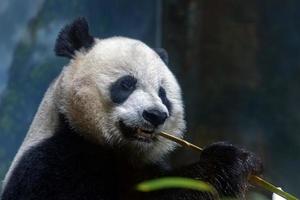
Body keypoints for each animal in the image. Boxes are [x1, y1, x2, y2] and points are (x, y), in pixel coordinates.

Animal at [1, 18, 262, 199]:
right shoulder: (50, 166)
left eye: (163, 94)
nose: (155, 115)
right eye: (126, 84)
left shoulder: (145, 167)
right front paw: (229, 161)